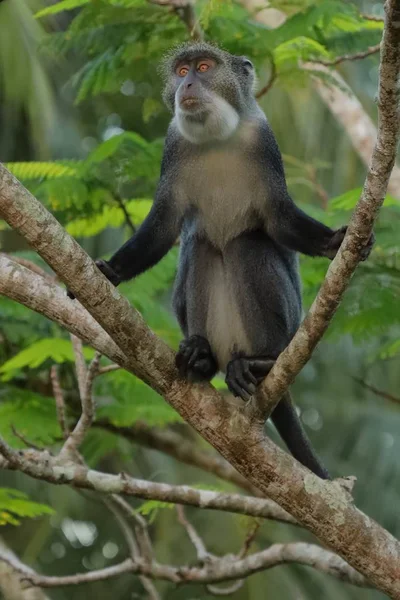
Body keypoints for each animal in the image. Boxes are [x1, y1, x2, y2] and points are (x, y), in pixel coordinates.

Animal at [69, 42, 376, 480]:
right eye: (181, 71)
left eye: (203, 67)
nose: (188, 85)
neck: (216, 140)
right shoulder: (173, 147)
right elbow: (162, 228)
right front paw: (110, 271)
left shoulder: (264, 142)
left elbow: (278, 220)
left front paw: (336, 242)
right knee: (201, 246)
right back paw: (201, 358)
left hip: (282, 327)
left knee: (245, 245)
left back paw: (260, 363)